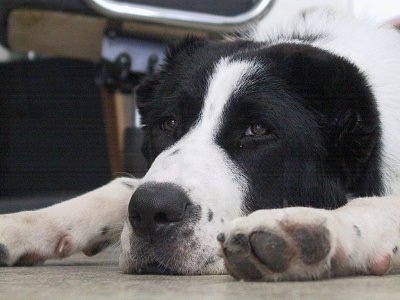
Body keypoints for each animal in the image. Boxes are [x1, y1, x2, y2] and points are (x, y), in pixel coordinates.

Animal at [0, 9, 400, 282]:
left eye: (257, 129)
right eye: (168, 123)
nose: (152, 211)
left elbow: (376, 204)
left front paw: (306, 229)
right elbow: (122, 187)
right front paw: (25, 224)